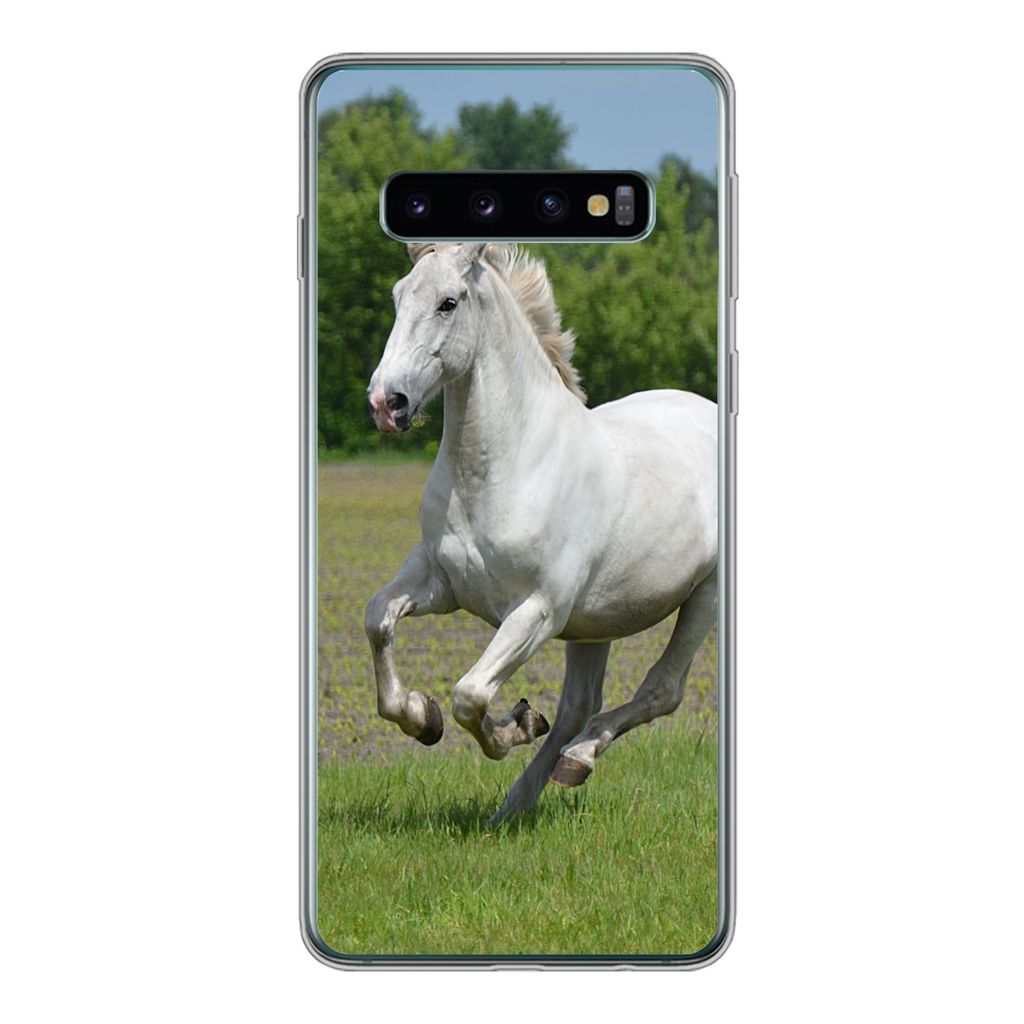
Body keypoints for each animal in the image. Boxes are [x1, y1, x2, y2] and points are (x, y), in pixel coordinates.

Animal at [364, 241, 717, 825]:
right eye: (397, 295)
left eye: (448, 302)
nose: (386, 403)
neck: (508, 466)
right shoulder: (440, 582)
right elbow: (378, 621)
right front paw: (422, 717)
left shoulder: (538, 611)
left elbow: (470, 695)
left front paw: (516, 724)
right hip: (597, 622)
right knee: (580, 704)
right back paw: (514, 806)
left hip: (703, 597)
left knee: (661, 690)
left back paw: (577, 759)